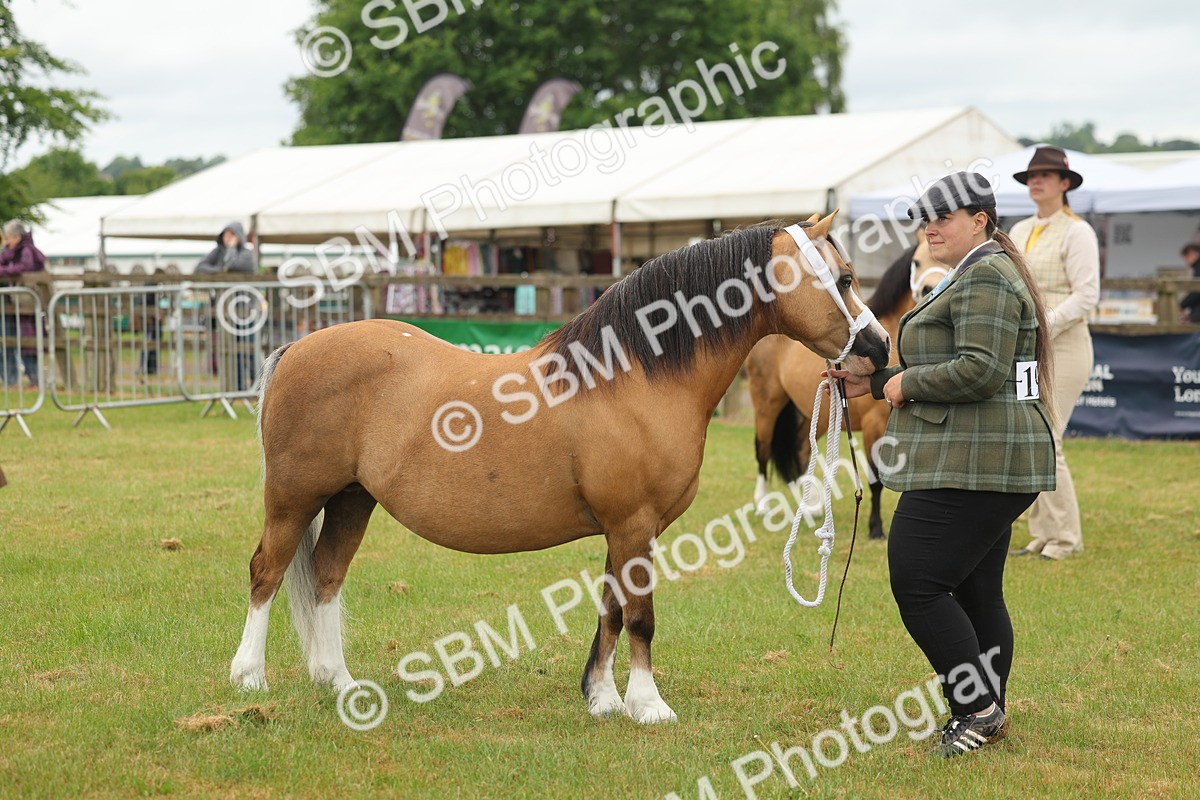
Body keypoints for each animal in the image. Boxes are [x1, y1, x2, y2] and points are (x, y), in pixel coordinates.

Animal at [229, 212, 890, 724]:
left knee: (326, 576)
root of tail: (295, 348)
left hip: (350, 497)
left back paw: (338, 682)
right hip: (293, 497)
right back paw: (249, 678)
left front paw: (602, 698)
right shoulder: (633, 524)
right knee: (267, 571)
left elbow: (611, 609)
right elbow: (641, 617)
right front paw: (648, 705)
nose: (879, 349)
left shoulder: (625, 530)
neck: (633, 377)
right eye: (844, 278)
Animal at [745, 238, 946, 539]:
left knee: (800, 447)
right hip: (767, 402)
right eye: (917, 261)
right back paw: (763, 504)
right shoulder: (874, 426)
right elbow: (874, 479)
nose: (928, 289)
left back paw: (809, 509)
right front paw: (876, 528)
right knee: (763, 449)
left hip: (815, 413)